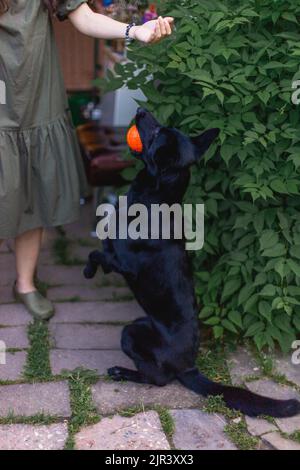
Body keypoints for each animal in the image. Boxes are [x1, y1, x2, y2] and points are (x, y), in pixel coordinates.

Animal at [84, 108, 300, 416]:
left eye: (157, 133)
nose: (140, 110)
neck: (155, 200)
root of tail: (189, 367)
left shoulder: (122, 261)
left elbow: (96, 252)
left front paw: (89, 271)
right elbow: (100, 248)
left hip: (132, 332)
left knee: (158, 379)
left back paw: (123, 372)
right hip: (140, 319)